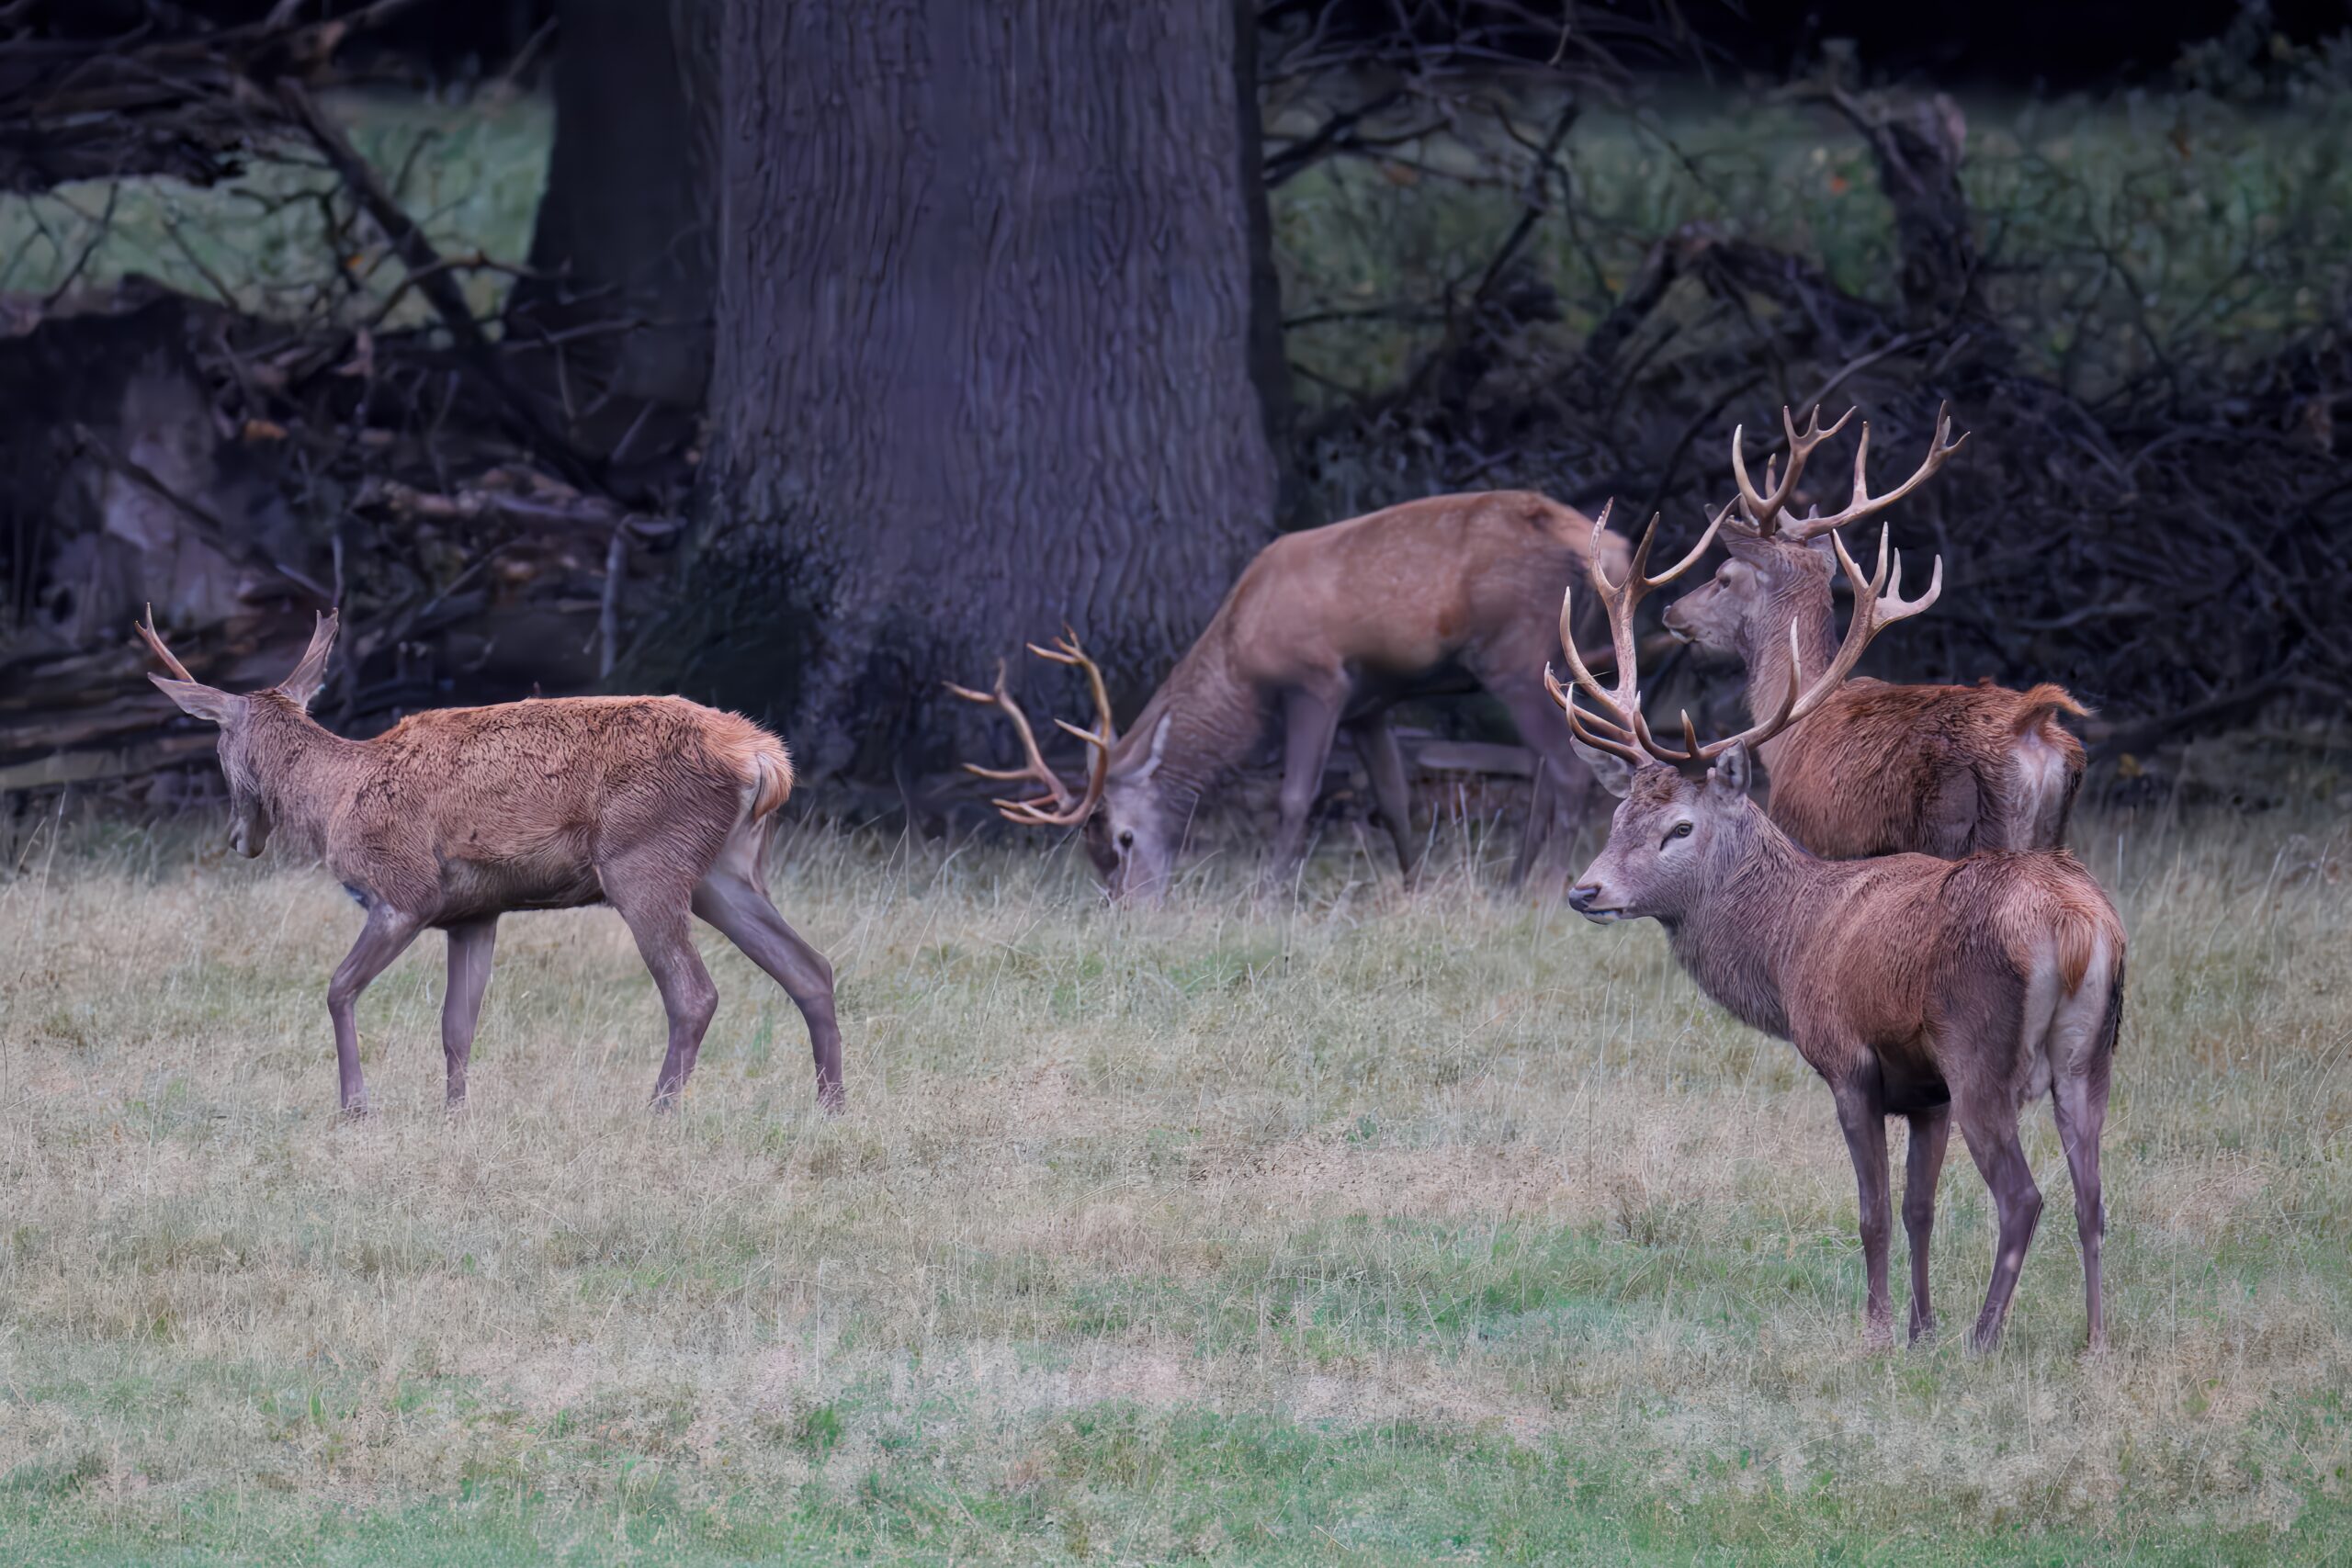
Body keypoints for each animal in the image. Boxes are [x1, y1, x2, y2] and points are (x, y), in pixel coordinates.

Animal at [133, 607, 843, 1117]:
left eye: (218, 744)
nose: (240, 838)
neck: (336, 796)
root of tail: (764, 758)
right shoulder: (473, 913)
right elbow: (458, 1024)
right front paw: (455, 1113)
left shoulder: (404, 891)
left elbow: (338, 988)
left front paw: (356, 1105)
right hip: (726, 871)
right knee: (811, 968)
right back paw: (831, 1106)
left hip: (646, 859)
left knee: (695, 993)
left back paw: (659, 1110)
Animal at [949, 491, 1633, 901]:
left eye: (1122, 838)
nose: (1128, 907)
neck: (1244, 663)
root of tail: (1614, 552)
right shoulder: (1369, 707)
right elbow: (1394, 798)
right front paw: (1411, 886)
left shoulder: (1318, 682)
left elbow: (1295, 795)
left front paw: (1272, 894)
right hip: (1558, 658)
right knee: (1552, 764)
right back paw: (1515, 881)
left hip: (1513, 654)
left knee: (1568, 769)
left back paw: (1545, 887)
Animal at [1550, 503, 2125, 1352]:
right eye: (1620, 817)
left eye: (1679, 828)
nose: (1586, 890)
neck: (1791, 942)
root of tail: (2079, 928)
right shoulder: (1927, 1095)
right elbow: (1920, 1208)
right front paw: (1919, 1326)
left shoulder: (1849, 1059)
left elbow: (1873, 1211)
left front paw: (1880, 1330)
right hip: (2090, 1056)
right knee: (2092, 1197)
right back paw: (2093, 1342)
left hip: (1980, 1047)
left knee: (2024, 1196)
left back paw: (1984, 1337)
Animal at [1660, 404, 2089, 858]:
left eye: (1724, 577)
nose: (1672, 610)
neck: (1786, 738)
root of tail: (2032, 725)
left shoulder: (1807, 835)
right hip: (2053, 835)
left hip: (1965, 834)